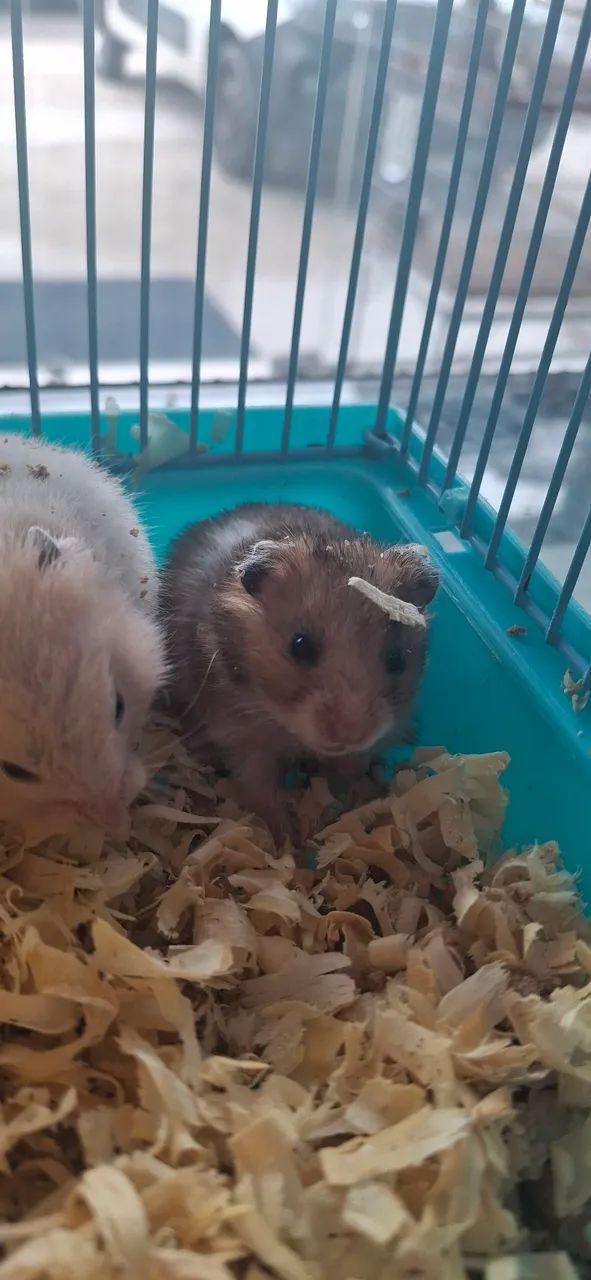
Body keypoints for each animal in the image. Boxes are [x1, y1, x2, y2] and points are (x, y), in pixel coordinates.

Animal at [160, 502, 438, 842]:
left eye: (398, 659)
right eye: (300, 646)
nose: (351, 734)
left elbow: (353, 767)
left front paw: (352, 804)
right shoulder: (238, 731)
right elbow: (259, 784)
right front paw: (287, 839)